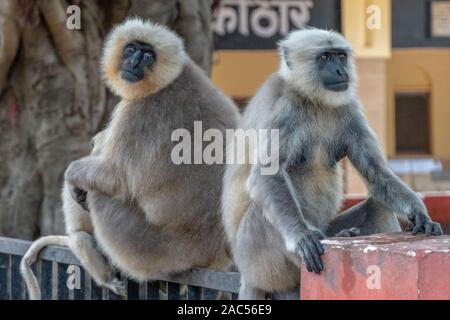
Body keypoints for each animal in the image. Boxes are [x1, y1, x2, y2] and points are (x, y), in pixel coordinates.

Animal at [21, 18, 241, 300]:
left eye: (147, 56)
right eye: (131, 50)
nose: (135, 63)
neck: (172, 79)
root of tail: (213, 254)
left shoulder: (139, 112)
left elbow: (114, 180)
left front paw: (73, 178)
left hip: (150, 251)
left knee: (99, 195)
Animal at [222, 28, 442, 300]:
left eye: (340, 56)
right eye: (325, 57)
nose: (339, 70)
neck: (313, 100)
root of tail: (246, 273)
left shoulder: (349, 107)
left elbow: (377, 174)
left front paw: (420, 215)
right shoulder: (284, 108)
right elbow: (266, 176)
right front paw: (302, 236)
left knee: (377, 206)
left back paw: (345, 235)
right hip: (257, 261)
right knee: (262, 210)